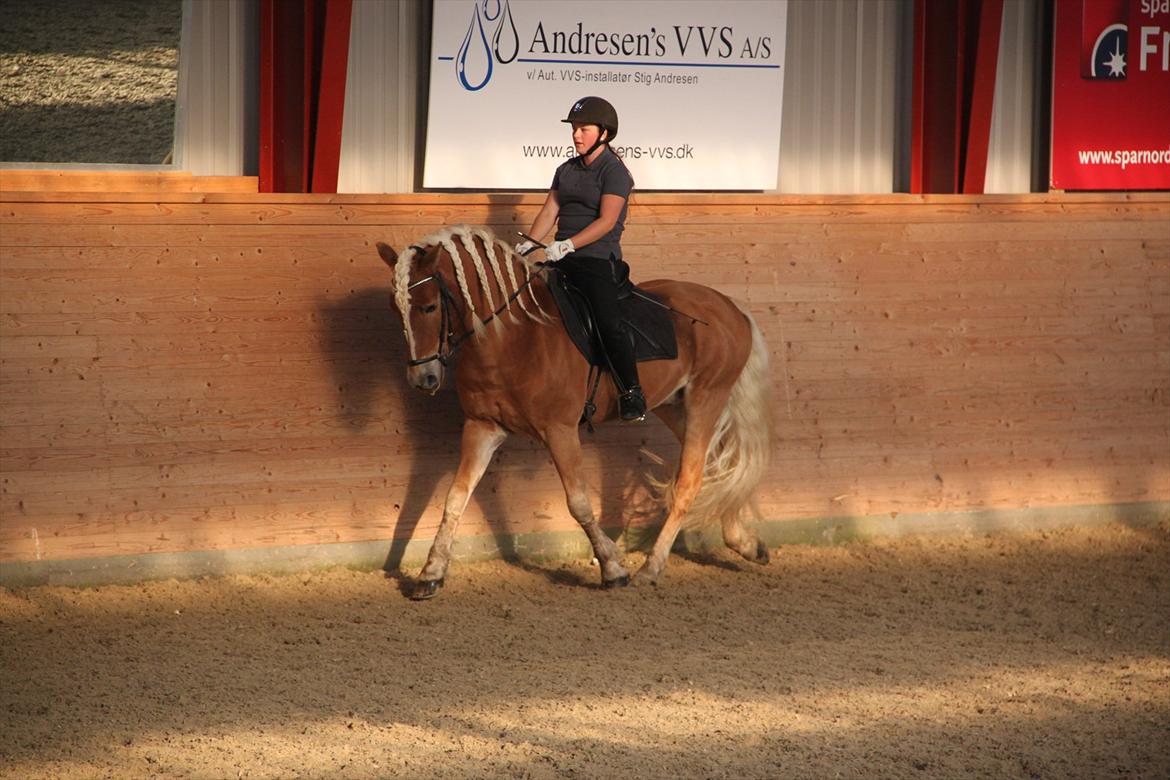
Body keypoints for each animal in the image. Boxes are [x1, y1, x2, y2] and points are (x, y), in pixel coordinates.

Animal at [376, 222, 776, 603]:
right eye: (396, 309)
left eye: (429, 306)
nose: (423, 379)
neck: (512, 338)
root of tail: (729, 306)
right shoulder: (482, 427)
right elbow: (455, 498)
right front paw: (430, 575)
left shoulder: (560, 430)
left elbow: (579, 502)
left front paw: (613, 568)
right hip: (674, 406)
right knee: (719, 464)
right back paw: (745, 543)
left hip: (706, 398)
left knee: (689, 482)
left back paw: (651, 568)